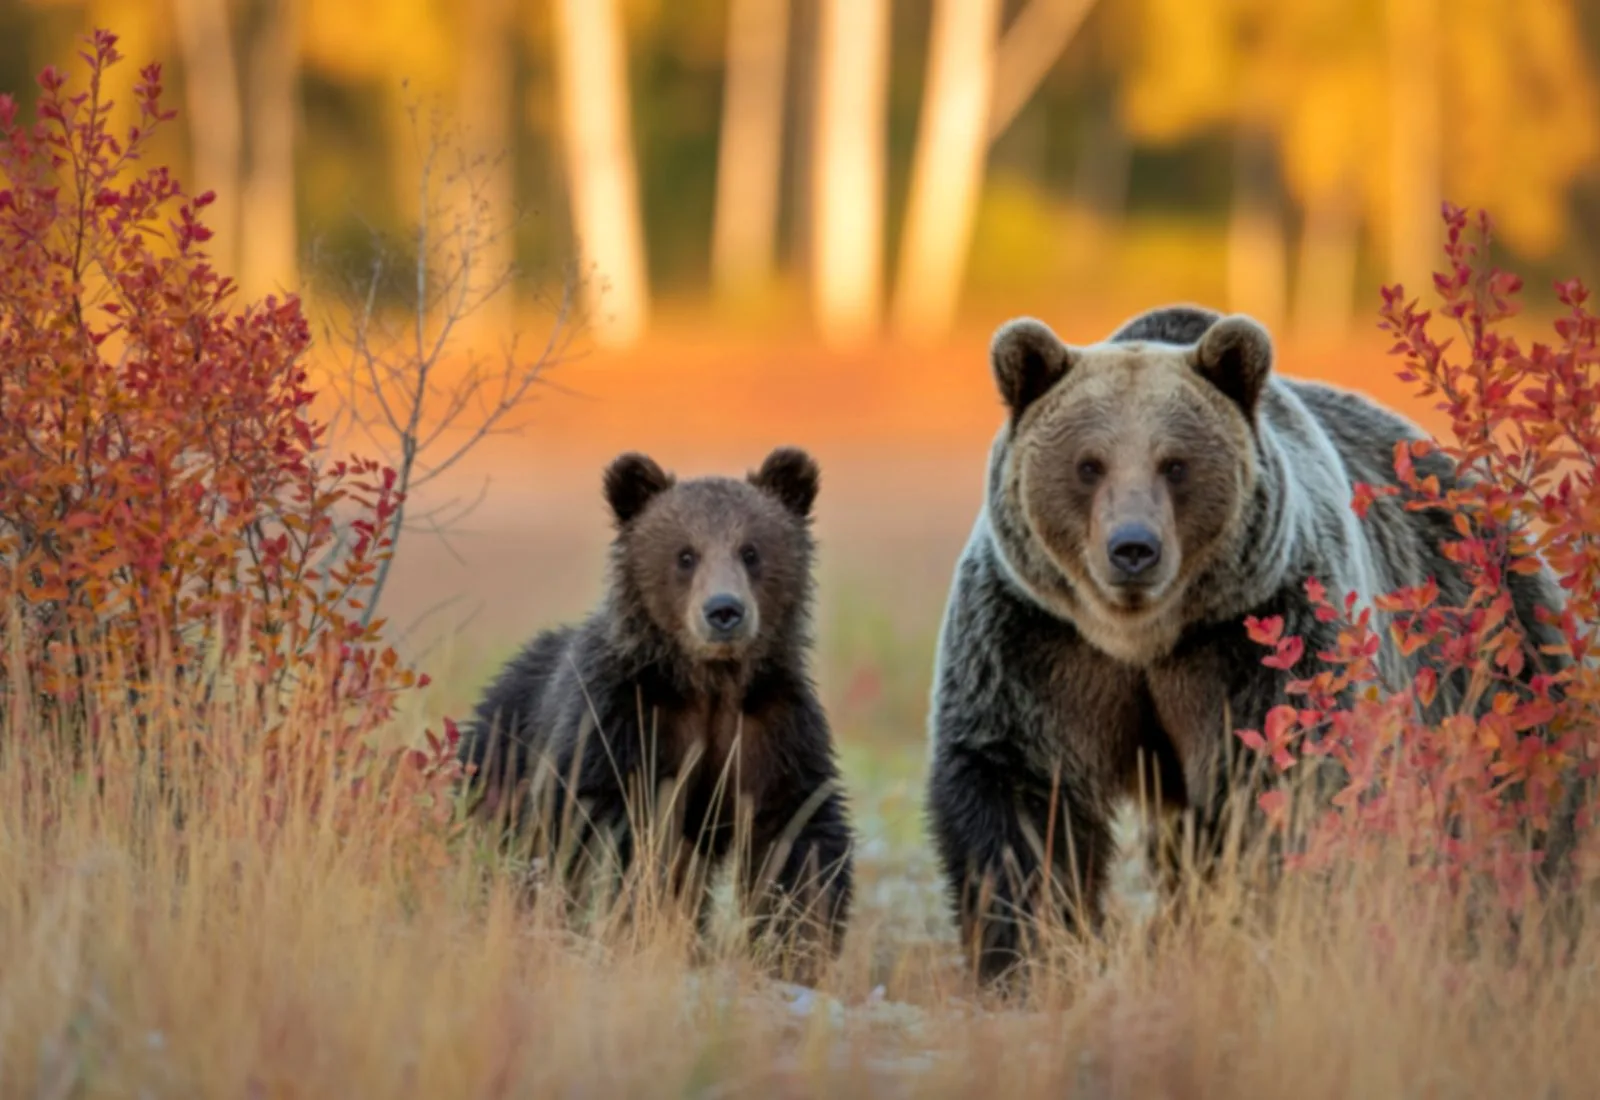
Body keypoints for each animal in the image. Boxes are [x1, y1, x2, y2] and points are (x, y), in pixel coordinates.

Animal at [459, 446, 855, 983]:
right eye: (685, 555)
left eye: (751, 551)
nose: (724, 610)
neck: (709, 683)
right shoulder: (621, 718)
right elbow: (609, 831)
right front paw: (645, 919)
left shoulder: (772, 727)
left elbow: (797, 833)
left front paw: (799, 945)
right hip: (496, 759)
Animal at [924, 302, 1581, 989]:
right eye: (1088, 463)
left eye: (1175, 464)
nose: (1133, 547)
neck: (1143, 636)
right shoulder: (1039, 641)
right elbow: (1021, 793)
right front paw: (1031, 957)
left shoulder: (1259, 633)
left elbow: (1291, 779)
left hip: (1494, 660)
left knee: (1515, 817)